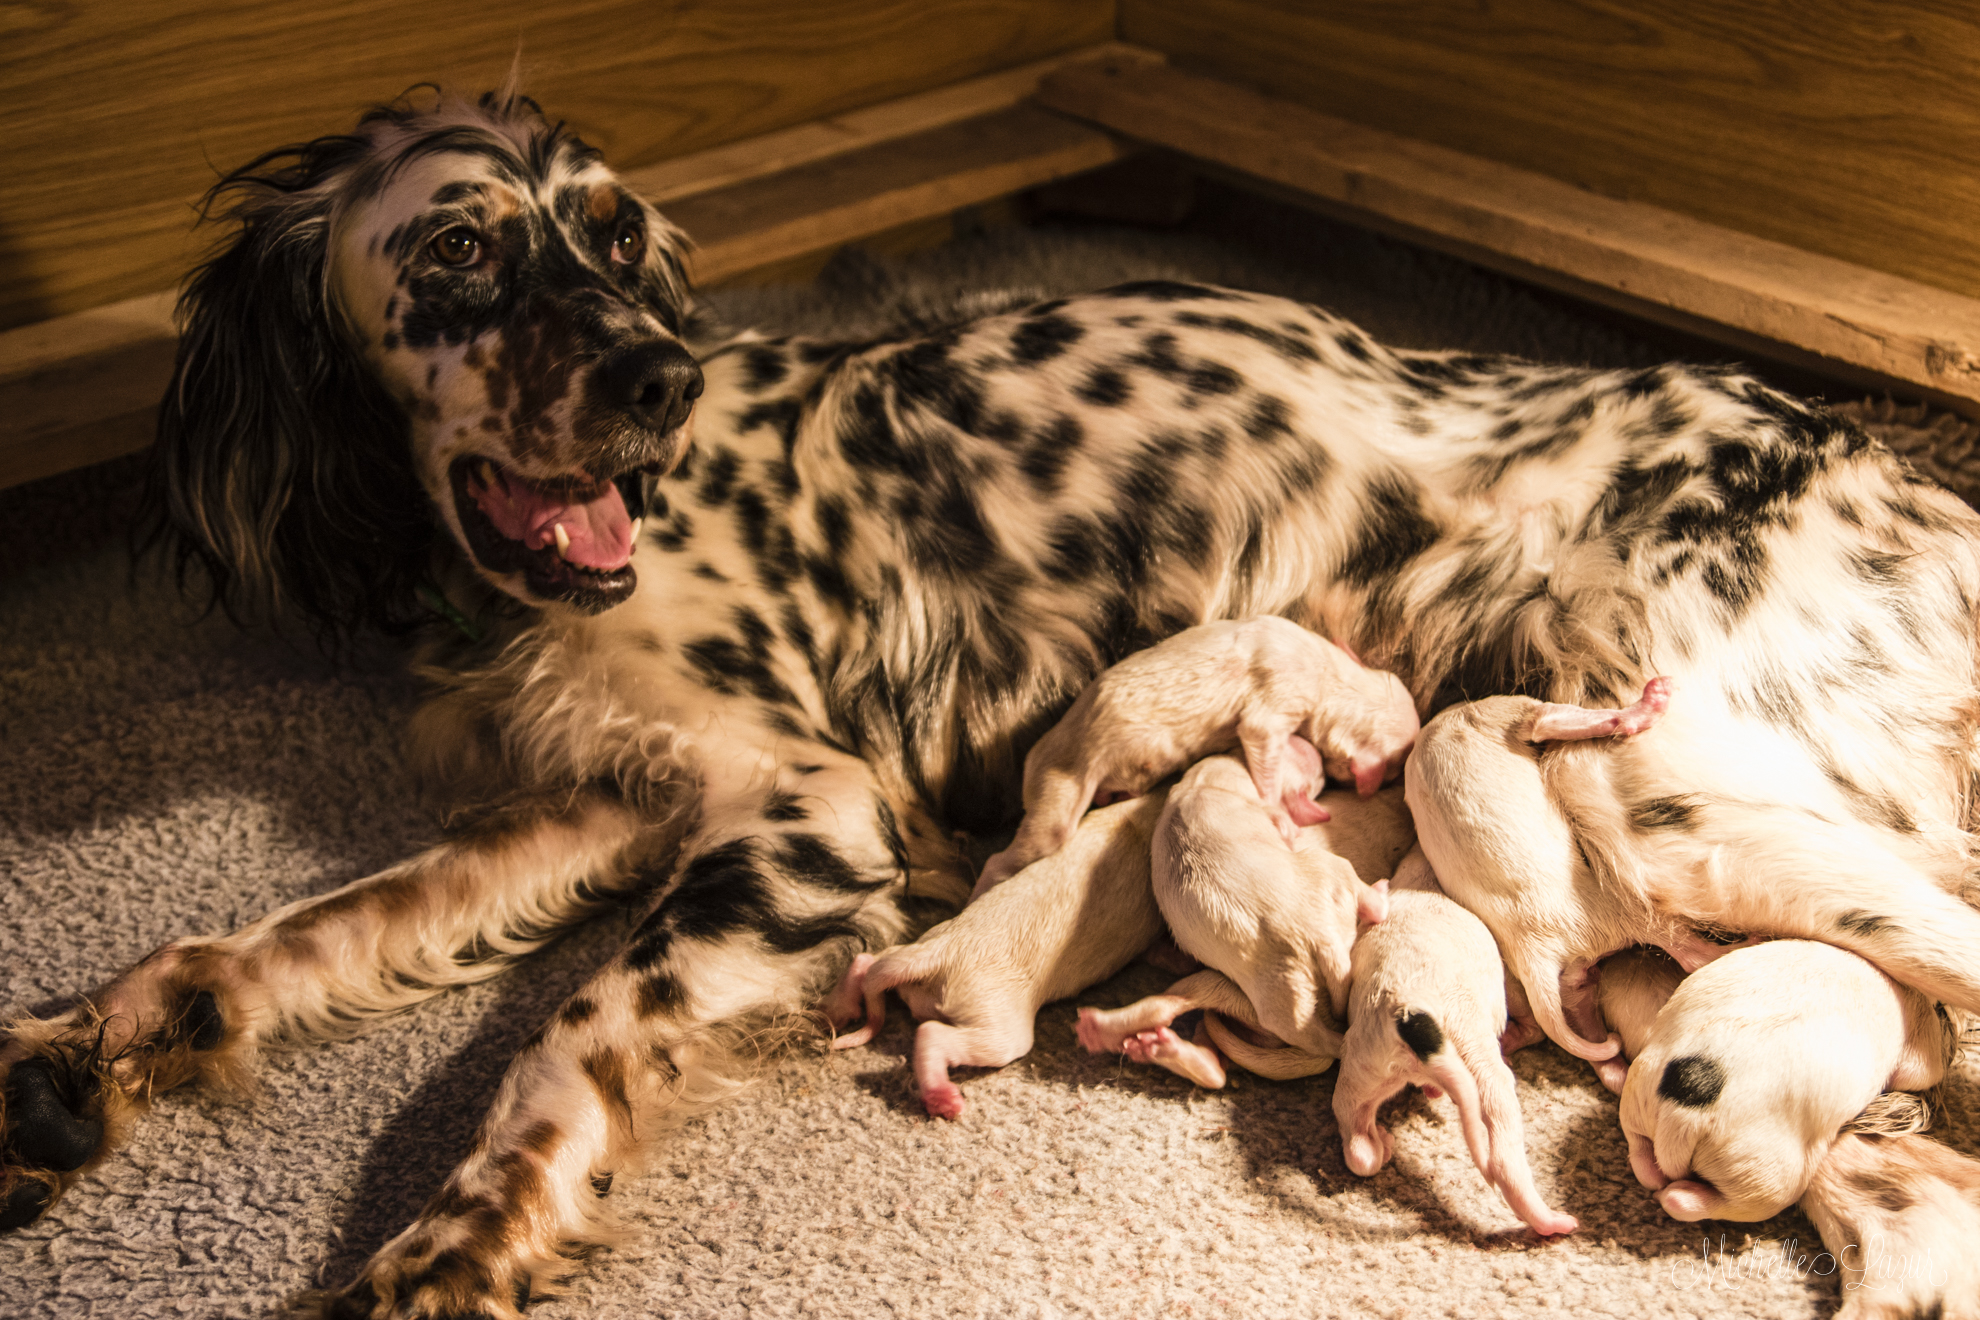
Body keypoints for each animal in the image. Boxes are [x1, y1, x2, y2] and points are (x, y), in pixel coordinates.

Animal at [815, 791, 1156, 1124]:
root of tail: (933, 957)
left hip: (918, 946)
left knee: (866, 961)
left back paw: (834, 1012)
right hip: (997, 1018)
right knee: (934, 1034)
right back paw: (945, 1101)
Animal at [1615, 945, 1956, 1226]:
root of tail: (1684, 1111)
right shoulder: (1920, 1043)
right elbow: (1923, 1071)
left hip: (1638, 1092)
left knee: (1643, 1159)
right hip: (1764, 1172)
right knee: (1703, 1201)